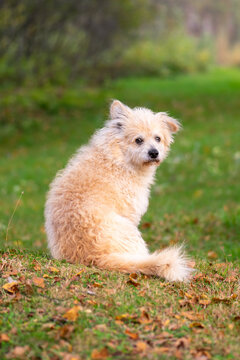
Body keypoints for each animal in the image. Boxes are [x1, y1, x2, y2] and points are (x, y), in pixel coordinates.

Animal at [45, 100, 194, 282]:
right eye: (138, 140)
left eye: (158, 138)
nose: (154, 153)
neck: (119, 158)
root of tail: (94, 257)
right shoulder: (131, 214)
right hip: (131, 233)